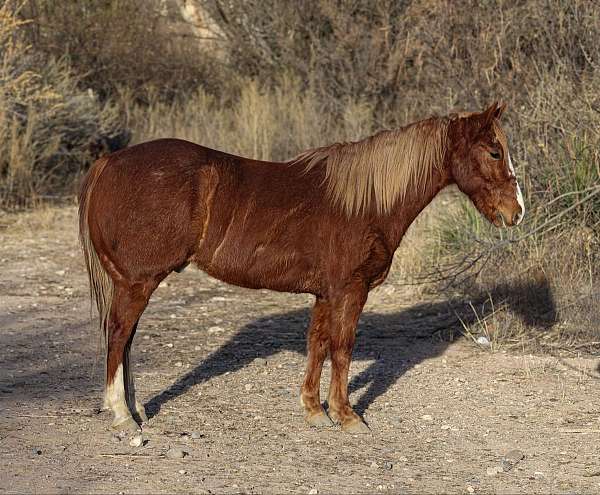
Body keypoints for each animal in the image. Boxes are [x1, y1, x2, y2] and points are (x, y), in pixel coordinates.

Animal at [81, 101, 524, 434]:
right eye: (495, 151)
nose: (516, 212)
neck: (365, 202)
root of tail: (109, 162)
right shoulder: (350, 291)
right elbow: (342, 348)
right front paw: (347, 415)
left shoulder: (325, 294)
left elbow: (318, 345)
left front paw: (314, 410)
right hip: (137, 282)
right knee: (118, 335)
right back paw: (121, 415)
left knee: (127, 340)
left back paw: (135, 409)